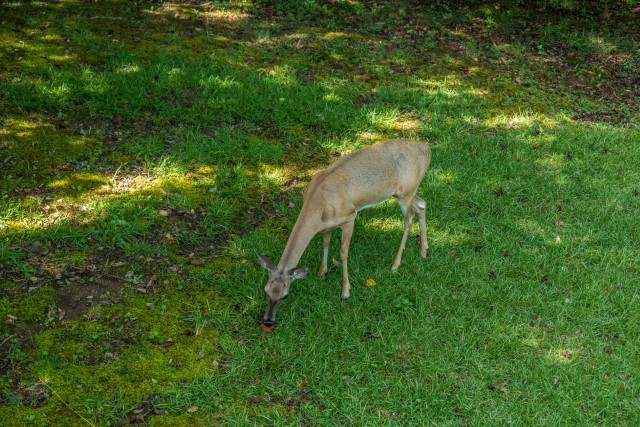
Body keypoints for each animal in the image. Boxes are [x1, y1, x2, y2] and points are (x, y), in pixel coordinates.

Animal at [258, 139, 432, 330]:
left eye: (286, 295)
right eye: (266, 290)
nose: (268, 321)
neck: (318, 204)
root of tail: (427, 148)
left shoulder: (349, 216)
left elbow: (343, 252)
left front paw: (345, 291)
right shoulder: (327, 225)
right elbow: (326, 242)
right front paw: (322, 272)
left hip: (406, 192)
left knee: (409, 219)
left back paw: (395, 265)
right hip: (407, 192)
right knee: (421, 204)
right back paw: (424, 250)